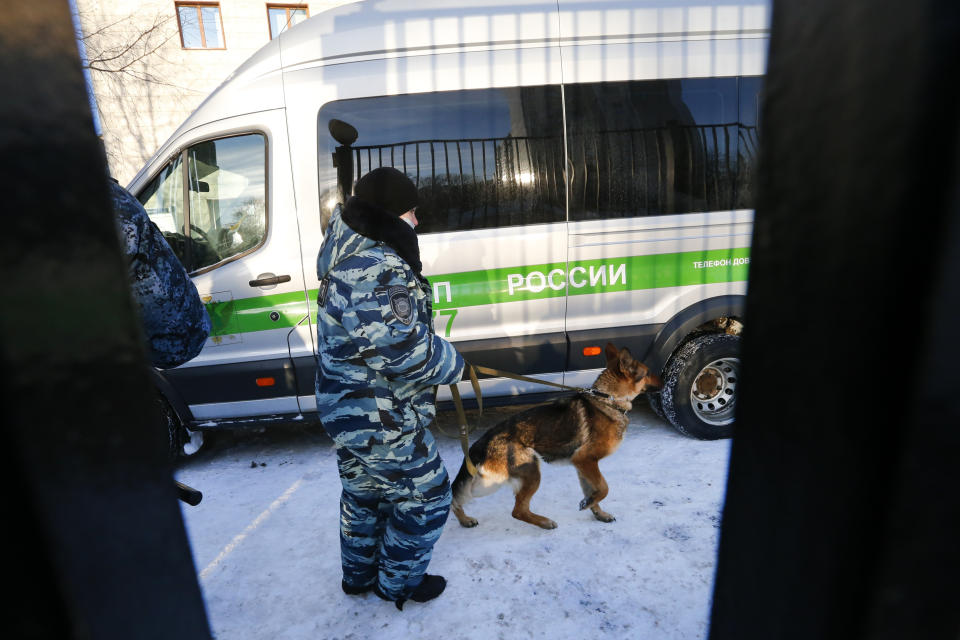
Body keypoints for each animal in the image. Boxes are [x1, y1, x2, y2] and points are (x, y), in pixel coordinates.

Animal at [450, 344, 660, 528]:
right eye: (648, 372)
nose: (664, 380)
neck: (608, 399)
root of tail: (482, 442)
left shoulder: (582, 465)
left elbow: (594, 490)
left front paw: (596, 510)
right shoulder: (586, 459)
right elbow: (604, 488)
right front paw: (590, 503)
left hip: (488, 482)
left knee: (456, 496)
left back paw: (464, 520)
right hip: (523, 473)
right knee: (516, 510)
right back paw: (544, 522)